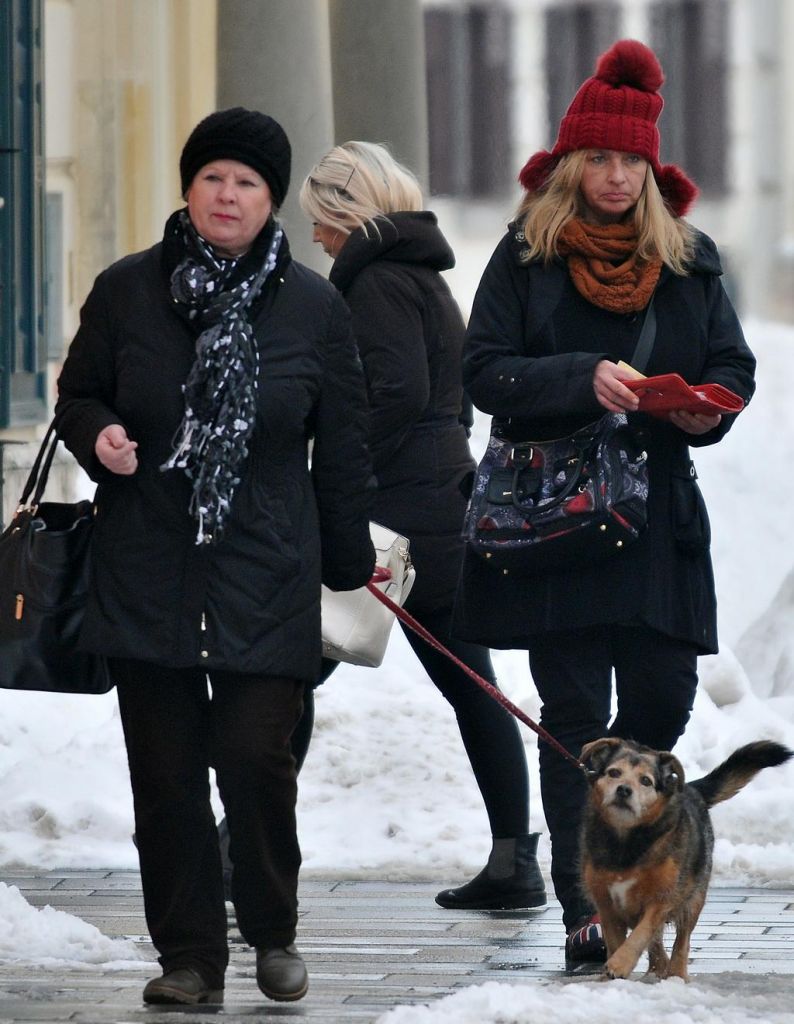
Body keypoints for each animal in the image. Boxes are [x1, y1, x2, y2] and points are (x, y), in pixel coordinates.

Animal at [579, 736, 792, 981]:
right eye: (614, 772)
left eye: (646, 781)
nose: (623, 790)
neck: (627, 839)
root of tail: (689, 788)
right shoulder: (606, 903)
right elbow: (617, 941)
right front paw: (612, 972)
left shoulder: (663, 898)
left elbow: (642, 933)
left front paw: (620, 964)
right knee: (658, 946)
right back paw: (657, 971)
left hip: (694, 898)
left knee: (681, 942)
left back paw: (676, 975)